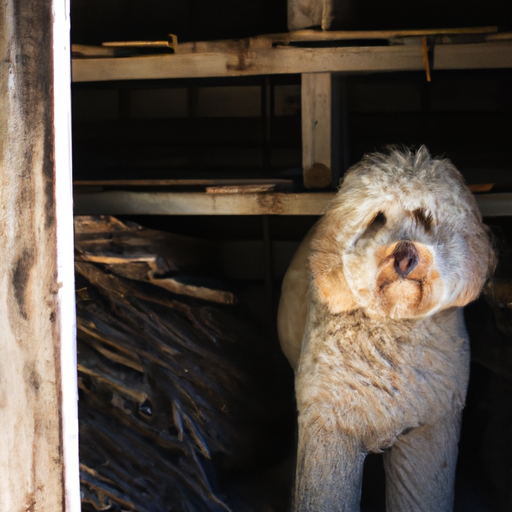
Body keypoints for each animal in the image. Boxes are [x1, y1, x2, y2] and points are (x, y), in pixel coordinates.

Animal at [278, 147, 494, 512]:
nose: (405, 254)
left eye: (426, 217)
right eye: (377, 218)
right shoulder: (329, 427)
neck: (393, 324)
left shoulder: (430, 431)